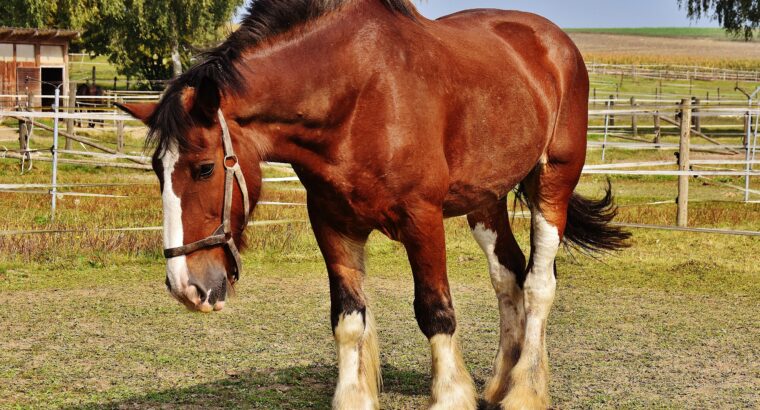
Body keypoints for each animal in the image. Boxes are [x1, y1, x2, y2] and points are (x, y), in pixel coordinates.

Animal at [117, 1, 628, 408]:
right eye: (158, 170)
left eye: (204, 168)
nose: (185, 286)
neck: (357, 95)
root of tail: (554, 42)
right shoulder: (332, 224)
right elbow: (348, 318)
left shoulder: (422, 220)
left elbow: (435, 312)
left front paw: (450, 396)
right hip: (486, 200)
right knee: (508, 275)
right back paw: (500, 384)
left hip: (552, 181)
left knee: (539, 284)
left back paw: (524, 391)